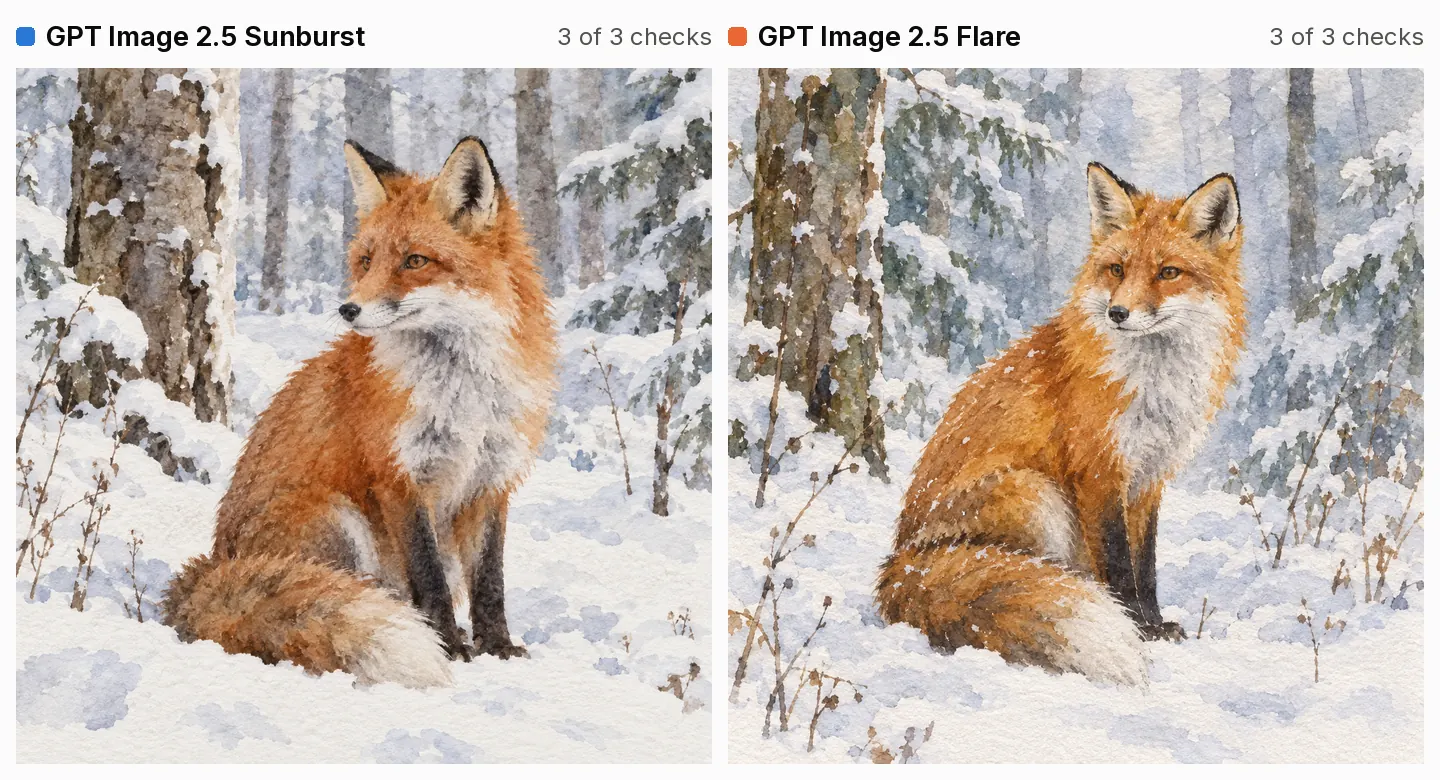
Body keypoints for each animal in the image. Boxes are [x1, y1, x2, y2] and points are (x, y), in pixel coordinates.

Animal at [162, 137, 556, 688]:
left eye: (415, 260)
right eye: (366, 260)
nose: (348, 310)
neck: (464, 394)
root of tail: (214, 565)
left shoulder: (491, 479)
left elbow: (489, 583)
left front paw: (498, 648)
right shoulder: (399, 476)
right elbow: (431, 578)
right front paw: (450, 646)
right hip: (340, 520)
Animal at [876, 163, 1245, 685]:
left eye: (1168, 272)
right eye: (1117, 270)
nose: (1117, 313)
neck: (1153, 386)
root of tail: (901, 563)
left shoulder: (1148, 478)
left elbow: (1146, 564)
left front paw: (1156, 625)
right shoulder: (1100, 472)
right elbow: (1120, 566)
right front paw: (1138, 630)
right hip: (1036, 495)